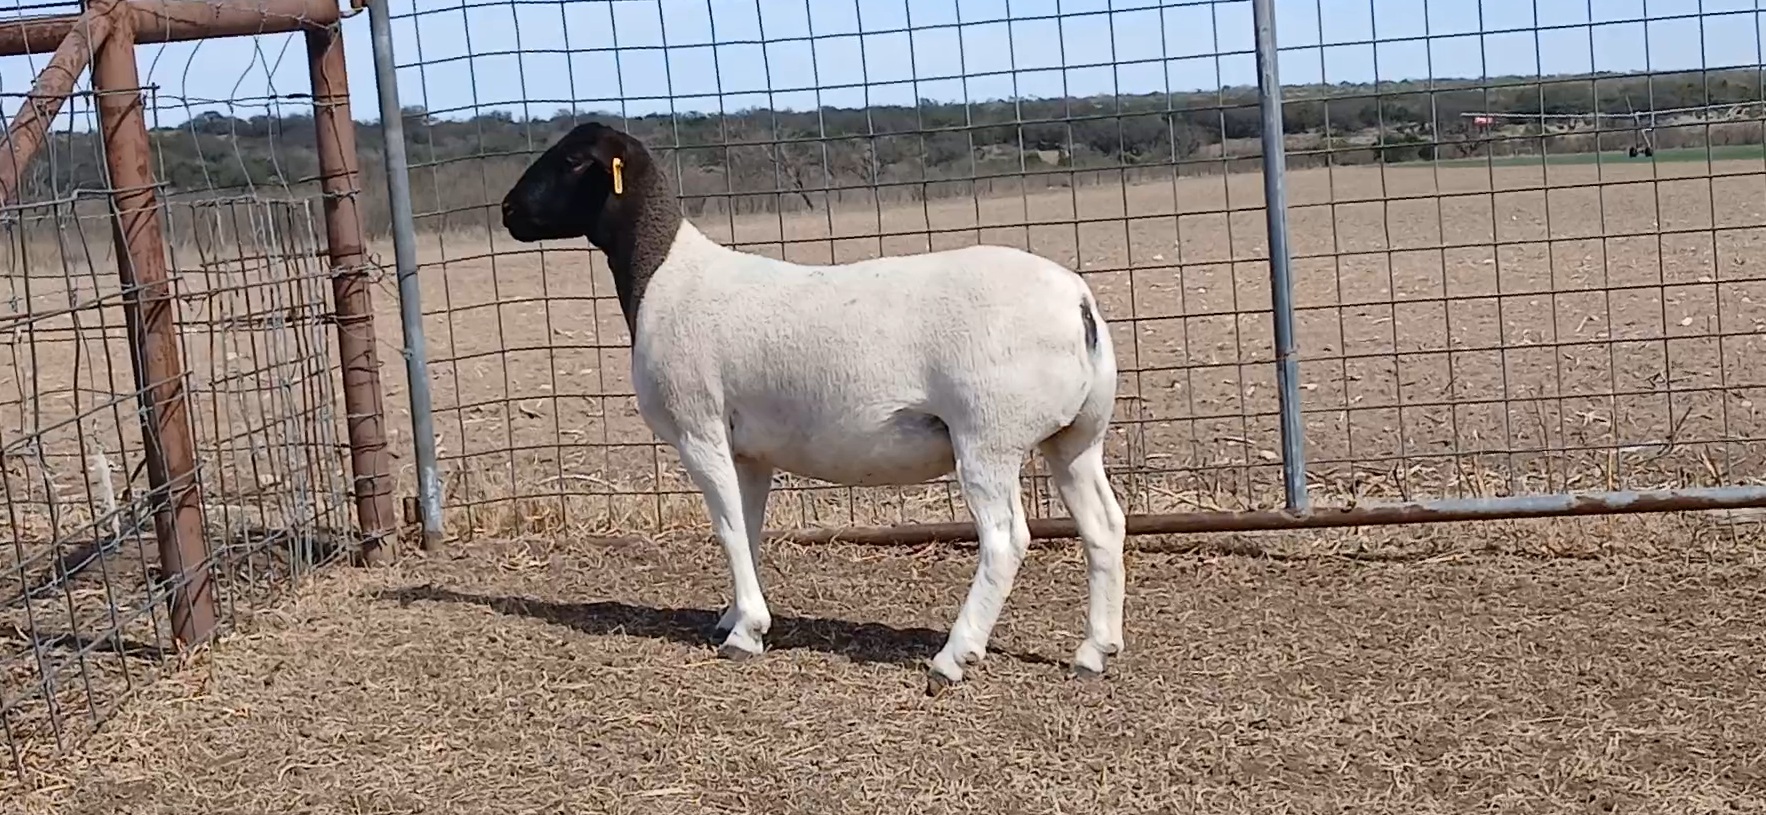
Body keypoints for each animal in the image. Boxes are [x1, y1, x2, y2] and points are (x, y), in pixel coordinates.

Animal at [500, 121, 1128, 692]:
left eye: (573, 159)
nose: (507, 209)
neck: (664, 276)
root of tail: (1079, 303)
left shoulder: (698, 427)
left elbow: (726, 528)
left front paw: (745, 634)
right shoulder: (748, 449)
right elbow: (747, 525)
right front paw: (734, 615)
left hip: (987, 436)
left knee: (1005, 538)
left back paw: (953, 658)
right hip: (1076, 436)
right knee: (1104, 524)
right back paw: (1094, 652)